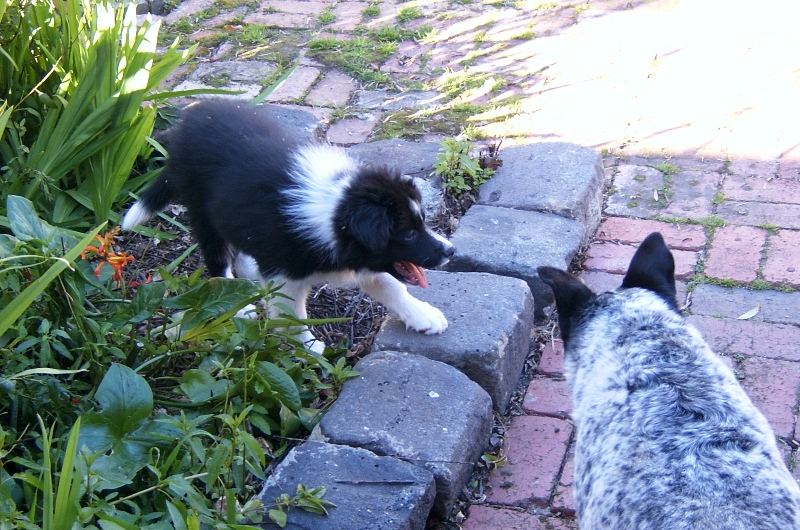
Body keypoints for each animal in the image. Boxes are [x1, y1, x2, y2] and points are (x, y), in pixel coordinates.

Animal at [122, 99, 454, 348]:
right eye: (408, 234)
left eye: (423, 222)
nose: (450, 251)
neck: (333, 210)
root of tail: (185, 126)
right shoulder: (287, 271)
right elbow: (292, 314)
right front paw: (310, 347)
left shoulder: (363, 260)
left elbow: (391, 286)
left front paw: (422, 315)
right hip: (202, 210)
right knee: (217, 258)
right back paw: (237, 301)